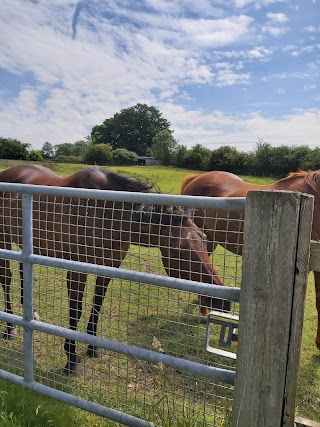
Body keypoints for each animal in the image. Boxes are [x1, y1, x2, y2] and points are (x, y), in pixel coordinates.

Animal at [0, 166, 228, 376]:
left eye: (204, 239)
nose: (222, 301)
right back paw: (10, 329)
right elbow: (75, 310)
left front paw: (93, 348)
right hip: (4, 241)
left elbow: (97, 305)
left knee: (23, 273)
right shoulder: (77, 270)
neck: (104, 213)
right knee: (6, 280)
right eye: (177, 251)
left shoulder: (109, 267)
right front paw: (71, 360)